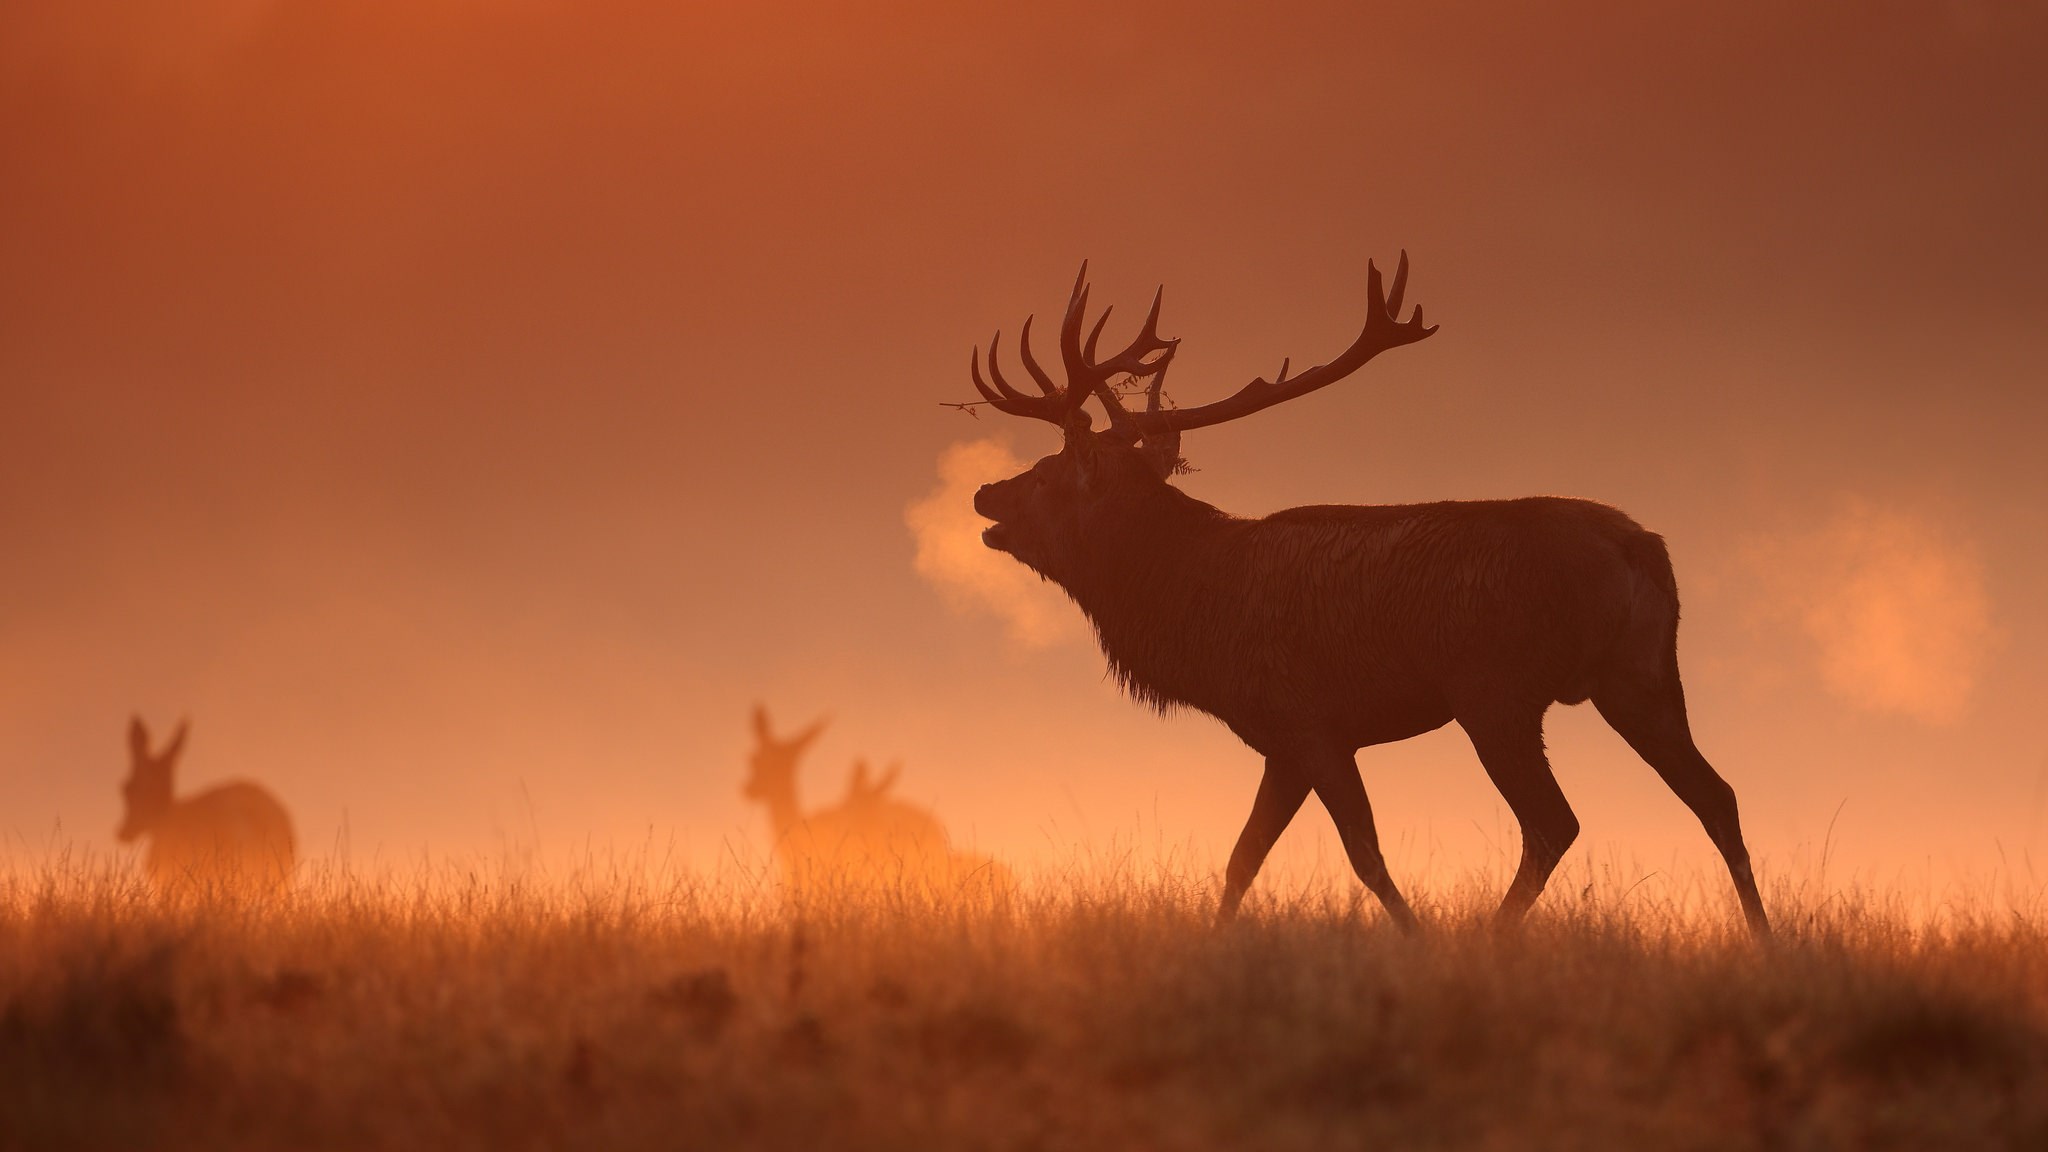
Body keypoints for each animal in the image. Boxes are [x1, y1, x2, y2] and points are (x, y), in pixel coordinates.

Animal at [961, 254, 1770, 937]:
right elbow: (1240, 861)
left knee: (1554, 822)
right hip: (1639, 675)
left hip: (1495, 690)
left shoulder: (1311, 720)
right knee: (1716, 795)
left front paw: (1418, 946)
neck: (1196, 613)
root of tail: (1641, 547)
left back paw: (1489, 944)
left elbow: (1364, 856)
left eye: (1046, 474)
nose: (982, 493)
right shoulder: (1283, 745)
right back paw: (1763, 943)